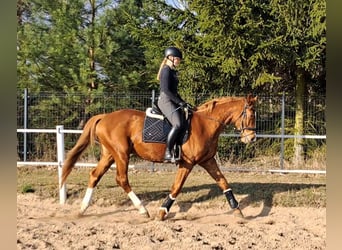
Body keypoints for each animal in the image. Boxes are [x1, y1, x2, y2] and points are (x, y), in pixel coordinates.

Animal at [60, 94, 256, 221]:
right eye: (250, 115)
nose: (251, 138)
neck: (205, 124)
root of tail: (105, 116)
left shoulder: (208, 161)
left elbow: (223, 182)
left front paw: (237, 210)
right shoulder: (187, 163)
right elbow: (177, 187)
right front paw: (162, 212)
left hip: (109, 155)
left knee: (95, 175)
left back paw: (82, 209)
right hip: (121, 154)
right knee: (121, 179)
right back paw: (142, 210)